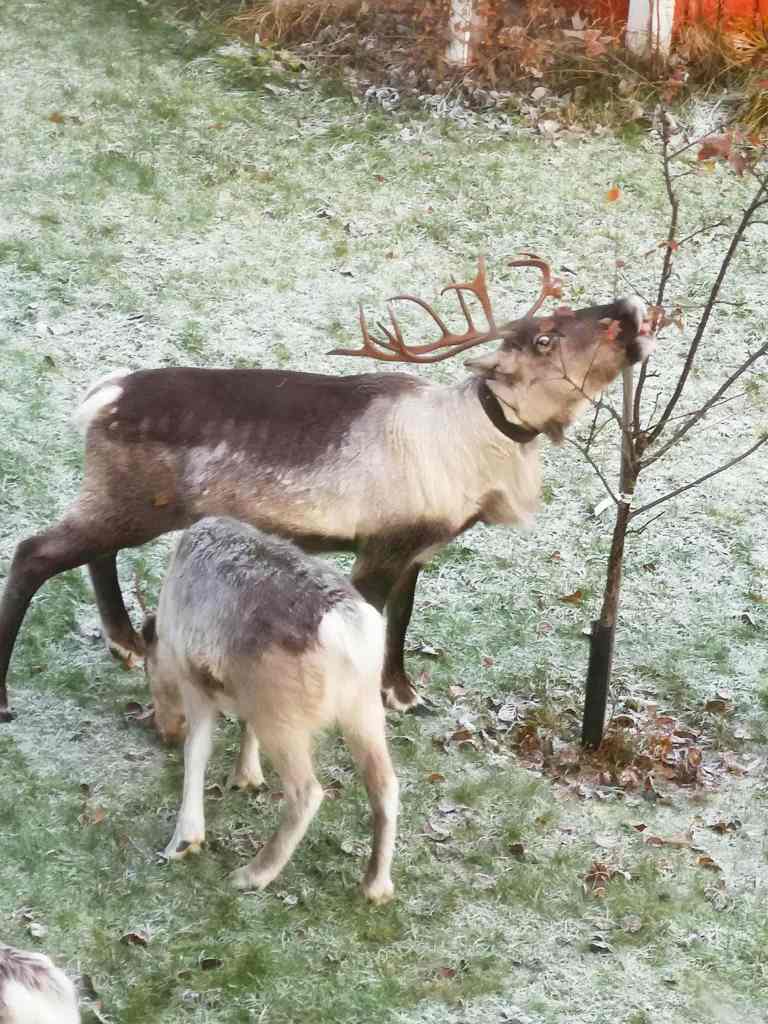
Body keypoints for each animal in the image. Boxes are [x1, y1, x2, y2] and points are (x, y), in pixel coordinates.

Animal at [0, 256, 655, 726]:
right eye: (544, 338)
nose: (629, 307)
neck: (471, 451)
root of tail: (102, 396)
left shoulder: (416, 551)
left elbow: (402, 622)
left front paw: (404, 695)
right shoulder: (381, 546)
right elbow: (371, 620)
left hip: (129, 503)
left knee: (93, 552)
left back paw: (128, 643)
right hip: (133, 504)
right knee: (34, 551)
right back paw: (11, 696)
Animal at [143, 515, 398, 902]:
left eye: (147, 670)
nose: (164, 732)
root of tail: (346, 631)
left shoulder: (196, 683)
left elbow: (197, 751)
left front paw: (185, 840)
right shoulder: (243, 694)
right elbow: (243, 730)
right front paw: (246, 776)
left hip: (283, 720)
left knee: (306, 792)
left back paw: (253, 874)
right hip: (363, 709)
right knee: (385, 785)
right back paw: (376, 885)